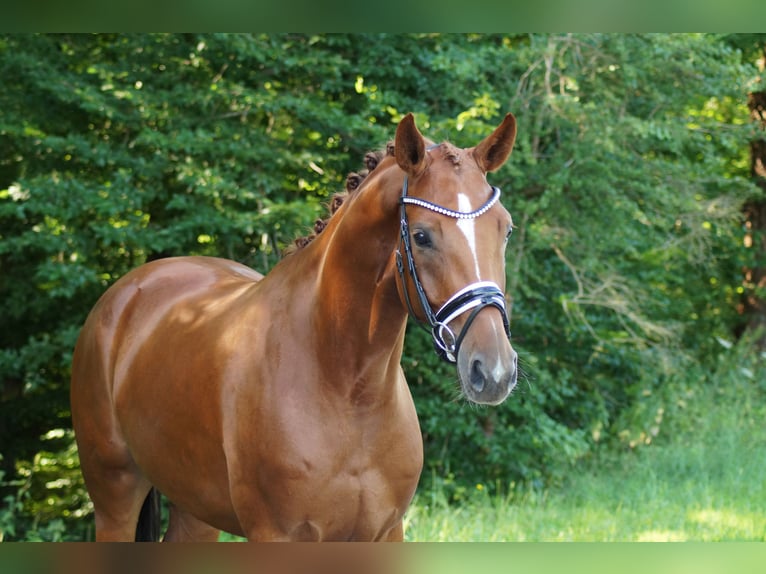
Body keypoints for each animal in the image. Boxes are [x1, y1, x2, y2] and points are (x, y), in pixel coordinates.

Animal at [70, 113, 520, 544]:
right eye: (423, 236)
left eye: (506, 229)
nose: (494, 369)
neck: (349, 390)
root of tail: (126, 292)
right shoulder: (277, 534)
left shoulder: (386, 532)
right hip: (114, 496)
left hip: (195, 508)